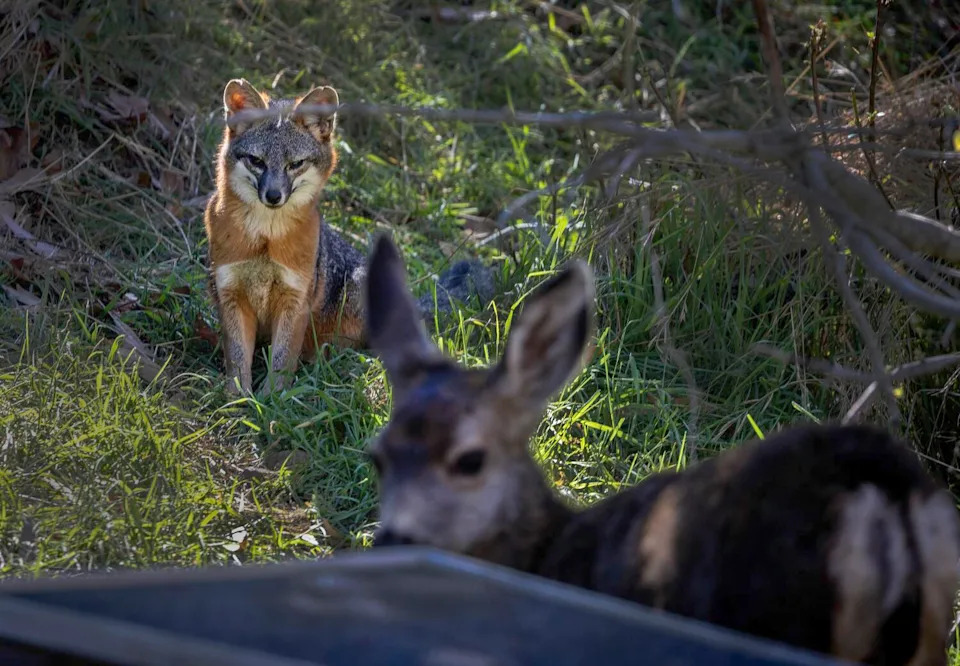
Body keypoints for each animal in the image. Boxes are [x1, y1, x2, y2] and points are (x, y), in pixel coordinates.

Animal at [203, 79, 493, 395]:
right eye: (257, 161)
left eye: (296, 164)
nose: (273, 196)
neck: (265, 241)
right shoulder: (230, 293)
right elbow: (237, 359)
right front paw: (238, 399)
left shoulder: (295, 299)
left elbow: (281, 361)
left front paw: (272, 399)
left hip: (359, 287)